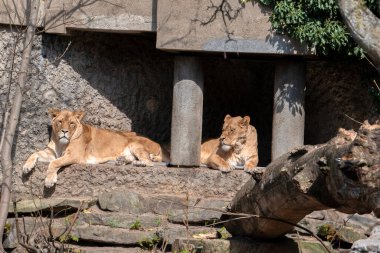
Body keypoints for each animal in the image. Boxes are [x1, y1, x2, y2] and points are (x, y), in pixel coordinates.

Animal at [21, 108, 168, 188]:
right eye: (60, 121)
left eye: (72, 123)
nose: (64, 132)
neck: (60, 143)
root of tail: (158, 144)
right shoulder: (50, 153)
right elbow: (34, 153)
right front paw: (26, 167)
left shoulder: (74, 155)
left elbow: (54, 163)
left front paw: (49, 181)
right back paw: (121, 161)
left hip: (134, 143)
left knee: (149, 161)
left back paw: (140, 164)